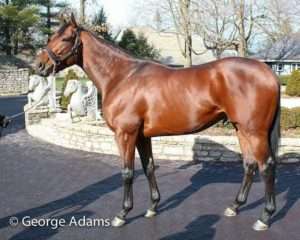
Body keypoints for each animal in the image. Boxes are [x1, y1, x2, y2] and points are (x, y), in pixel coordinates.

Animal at [35, 14, 282, 231]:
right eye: (52, 36)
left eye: (65, 38)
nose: (38, 65)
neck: (122, 77)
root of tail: (268, 71)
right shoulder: (142, 136)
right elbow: (149, 167)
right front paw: (153, 206)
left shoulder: (125, 134)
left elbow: (127, 172)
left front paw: (122, 214)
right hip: (241, 129)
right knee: (249, 164)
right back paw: (235, 206)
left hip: (255, 132)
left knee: (266, 166)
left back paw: (264, 217)